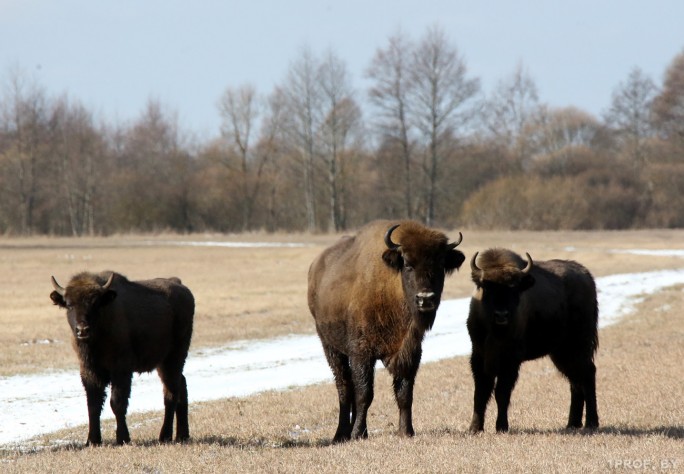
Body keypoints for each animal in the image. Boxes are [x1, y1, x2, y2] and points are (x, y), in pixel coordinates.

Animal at [49, 270, 194, 444]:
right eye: (69, 304)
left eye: (95, 304)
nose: (82, 330)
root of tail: (180, 285)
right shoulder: (89, 371)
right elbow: (93, 405)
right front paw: (92, 440)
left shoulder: (121, 370)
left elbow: (117, 403)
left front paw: (123, 438)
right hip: (164, 363)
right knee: (181, 384)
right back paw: (182, 435)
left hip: (173, 358)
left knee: (170, 393)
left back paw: (165, 436)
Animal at [308, 220, 464, 442]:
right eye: (408, 264)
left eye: (440, 264)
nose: (425, 298)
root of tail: (315, 267)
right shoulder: (361, 353)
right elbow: (364, 394)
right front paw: (357, 433)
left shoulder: (410, 353)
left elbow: (404, 394)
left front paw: (406, 431)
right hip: (331, 347)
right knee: (344, 387)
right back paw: (341, 434)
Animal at [464, 250, 600, 436]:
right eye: (487, 287)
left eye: (514, 288)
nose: (501, 315)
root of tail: (587, 276)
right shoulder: (479, 356)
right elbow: (481, 392)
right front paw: (474, 428)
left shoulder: (511, 360)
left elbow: (502, 392)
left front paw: (502, 427)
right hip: (561, 353)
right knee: (576, 381)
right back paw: (572, 424)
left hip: (577, 346)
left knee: (587, 375)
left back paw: (591, 423)